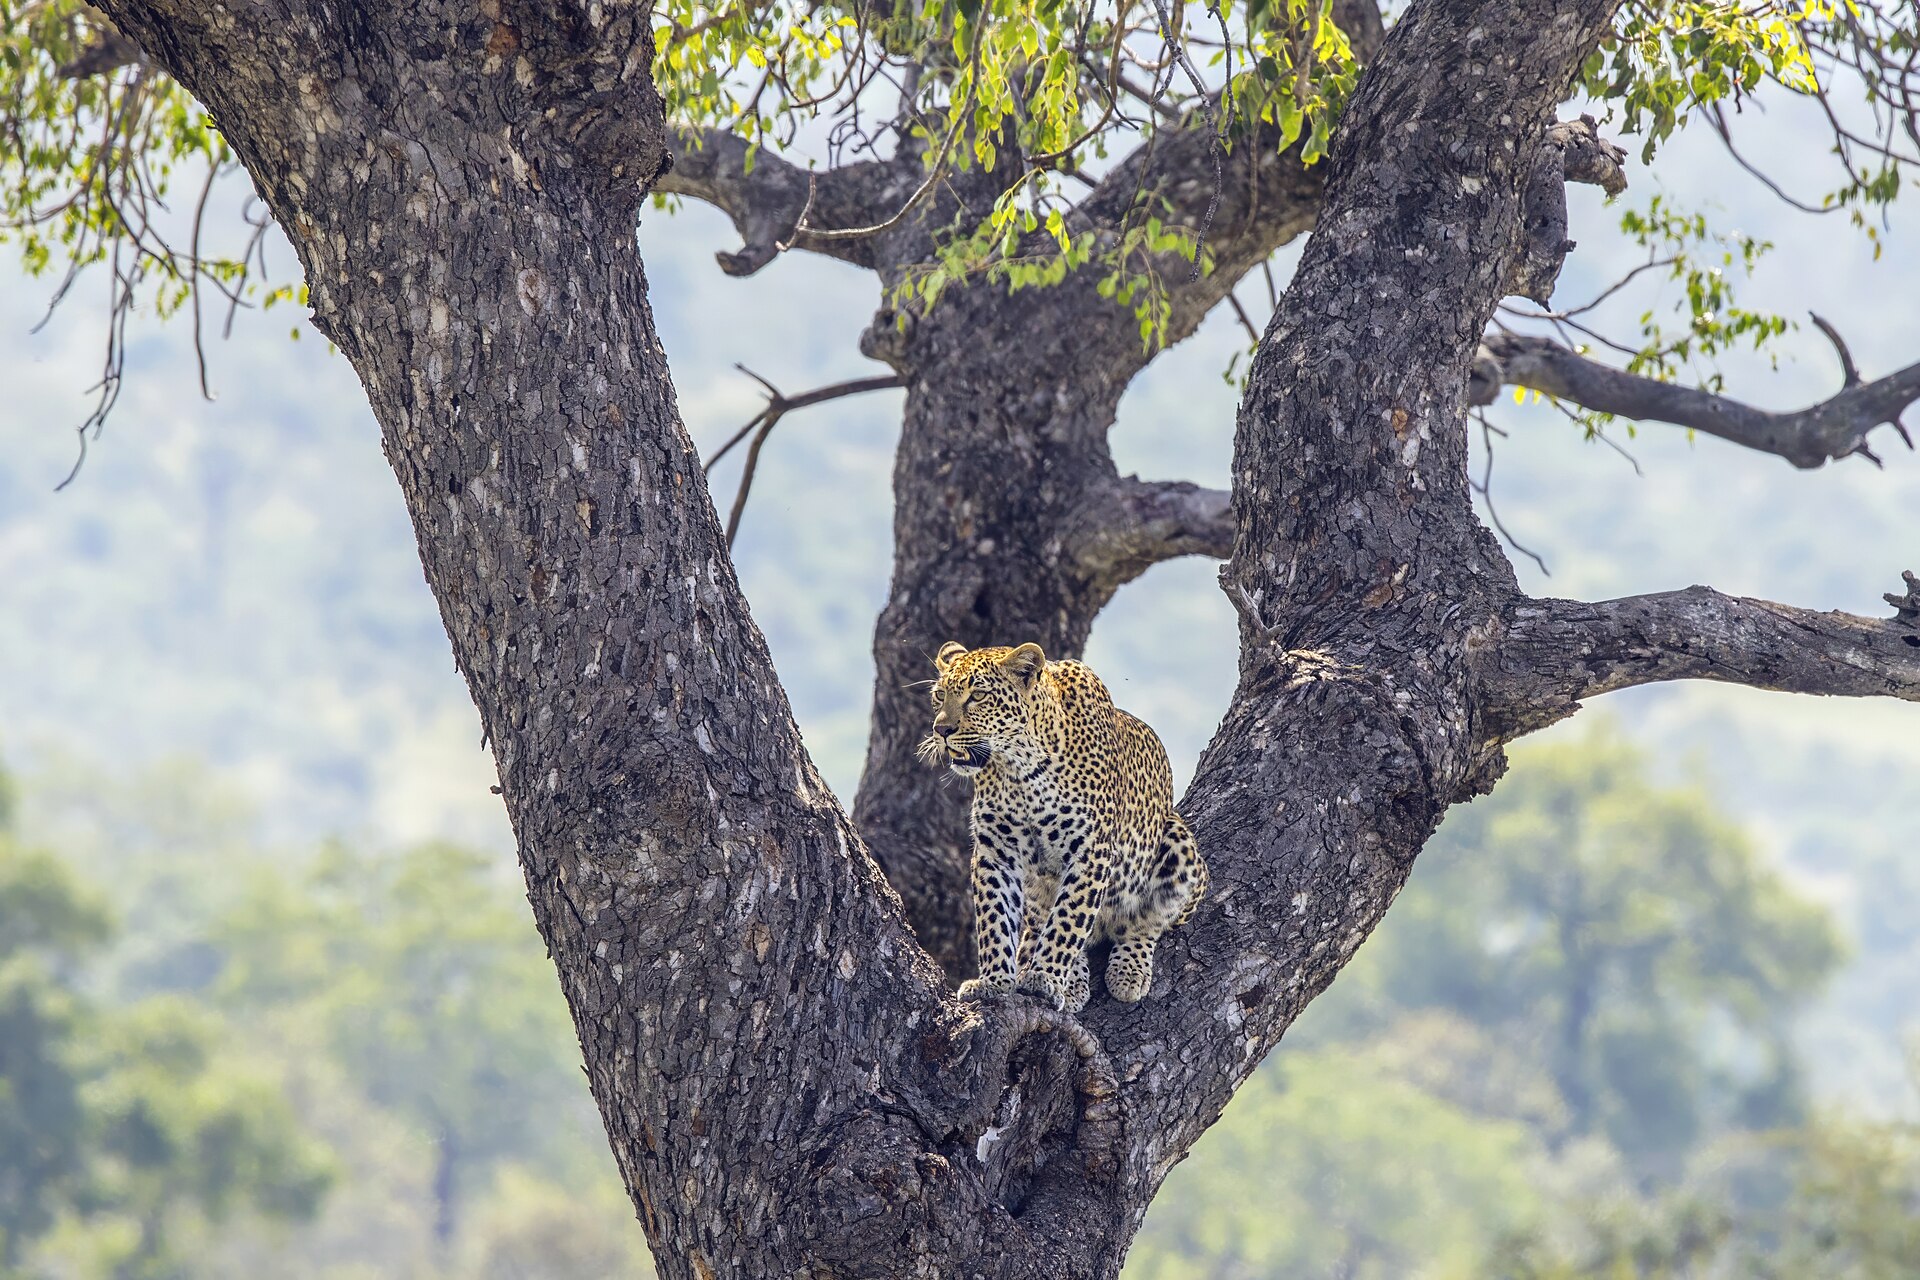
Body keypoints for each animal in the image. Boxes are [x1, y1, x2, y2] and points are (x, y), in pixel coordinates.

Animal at [918, 640, 1208, 1014]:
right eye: (939, 695)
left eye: (978, 695)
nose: (941, 731)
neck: (1018, 769)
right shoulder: (996, 851)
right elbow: (996, 919)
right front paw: (994, 982)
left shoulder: (1091, 850)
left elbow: (1069, 918)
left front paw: (1044, 979)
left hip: (1178, 844)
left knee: (1145, 921)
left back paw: (1128, 971)